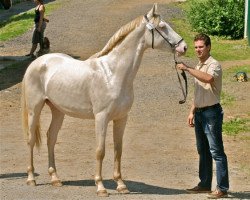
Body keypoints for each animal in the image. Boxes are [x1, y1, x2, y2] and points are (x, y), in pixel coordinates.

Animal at [21, 4, 187, 197]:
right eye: (162, 26)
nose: (184, 47)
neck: (112, 73)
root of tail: (38, 62)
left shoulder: (121, 118)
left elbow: (118, 150)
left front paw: (121, 185)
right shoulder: (101, 118)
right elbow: (100, 151)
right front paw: (100, 187)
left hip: (58, 111)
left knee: (51, 139)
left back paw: (55, 179)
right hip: (35, 109)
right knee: (31, 139)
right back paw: (31, 178)